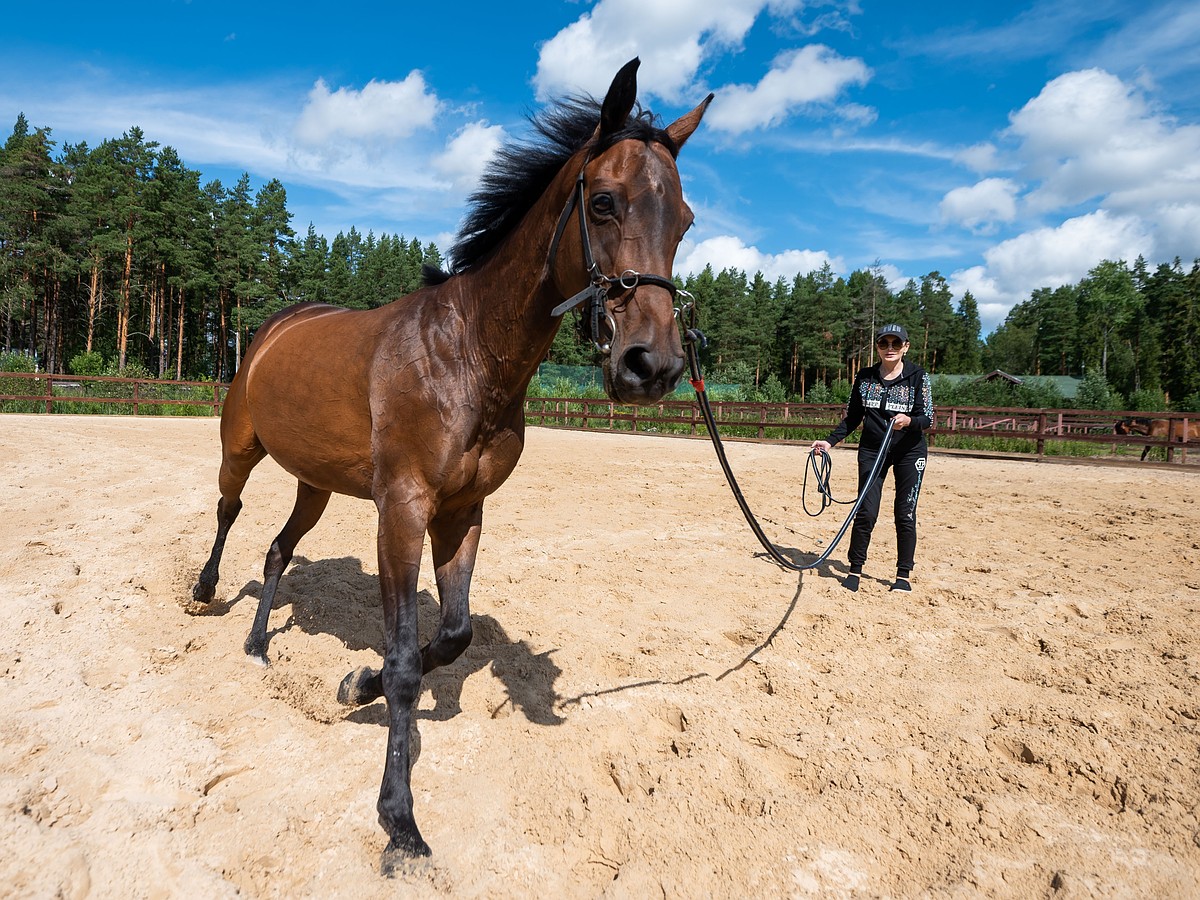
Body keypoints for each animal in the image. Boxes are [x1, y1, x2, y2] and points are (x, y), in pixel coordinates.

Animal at [190, 60, 705, 868]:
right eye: (604, 201)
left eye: (682, 221)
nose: (651, 366)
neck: (467, 353)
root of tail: (277, 325)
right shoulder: (401, 512)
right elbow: (406, 659)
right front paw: (399, 820)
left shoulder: (462, 513)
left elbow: (454, 635)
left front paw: (354, 683)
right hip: (240, 449)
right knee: (227, 510)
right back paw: (204, 592)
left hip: (315, 486)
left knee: (276, 549)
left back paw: (257, 645)